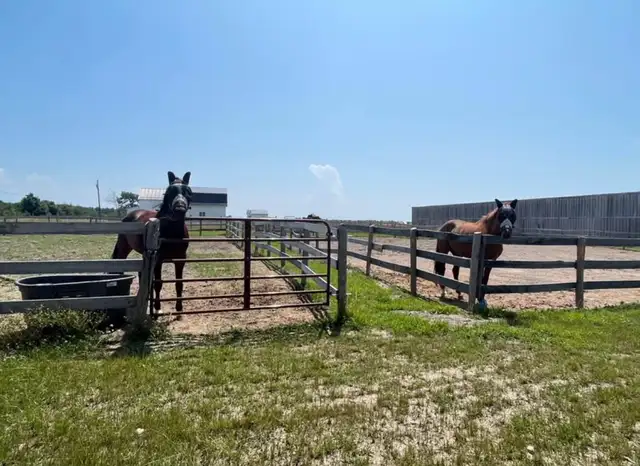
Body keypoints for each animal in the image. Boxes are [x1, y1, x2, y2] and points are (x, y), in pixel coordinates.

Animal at [111, 171, 193, 320]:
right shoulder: (158, 260)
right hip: (123, 248)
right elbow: (158, 284)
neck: (171, 232)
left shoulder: (180, 260)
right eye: (169, 191)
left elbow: (179, 284)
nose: (179, 208)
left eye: (188, 191)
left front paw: (179, 310)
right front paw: (157, 309)